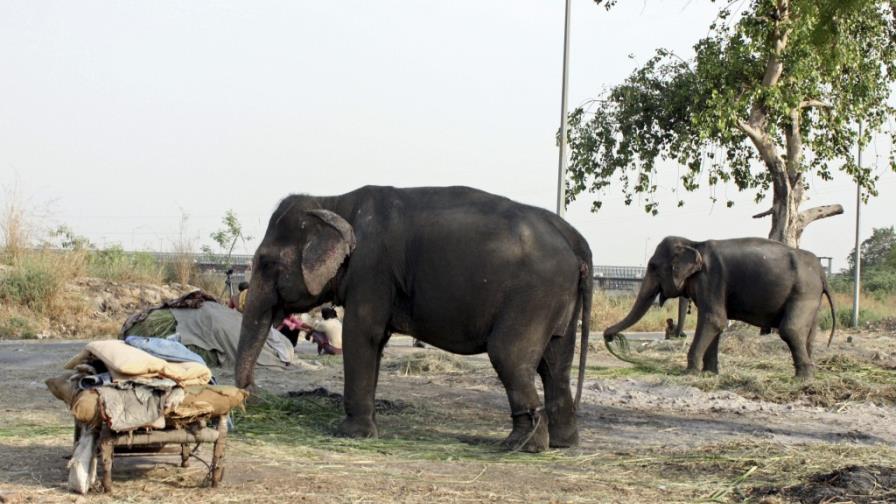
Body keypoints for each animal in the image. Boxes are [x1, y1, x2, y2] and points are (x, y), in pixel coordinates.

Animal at [235, 185, 593, 452]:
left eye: (266, 263)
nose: (251, 395)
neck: (334, 202)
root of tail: (575, 239)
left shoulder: (371, 269)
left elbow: (361, 333)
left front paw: (350, 434)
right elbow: (375, 341)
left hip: (532, 296)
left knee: (509, 355)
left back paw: (520, 446)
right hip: (558, 300)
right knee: (555, 364)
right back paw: (562, 444)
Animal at [604, 236, 835, 378]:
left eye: (652, 266)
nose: (608, 336)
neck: (694, 243)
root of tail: (822, 272)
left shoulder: (711, 279)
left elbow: (713, 320)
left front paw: (690, 373)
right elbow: (716, 325)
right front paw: (709, 374)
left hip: (803, 292)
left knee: (790, 329)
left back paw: (801, 378)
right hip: (811, 298)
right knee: (808, 335)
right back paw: (807, 374)